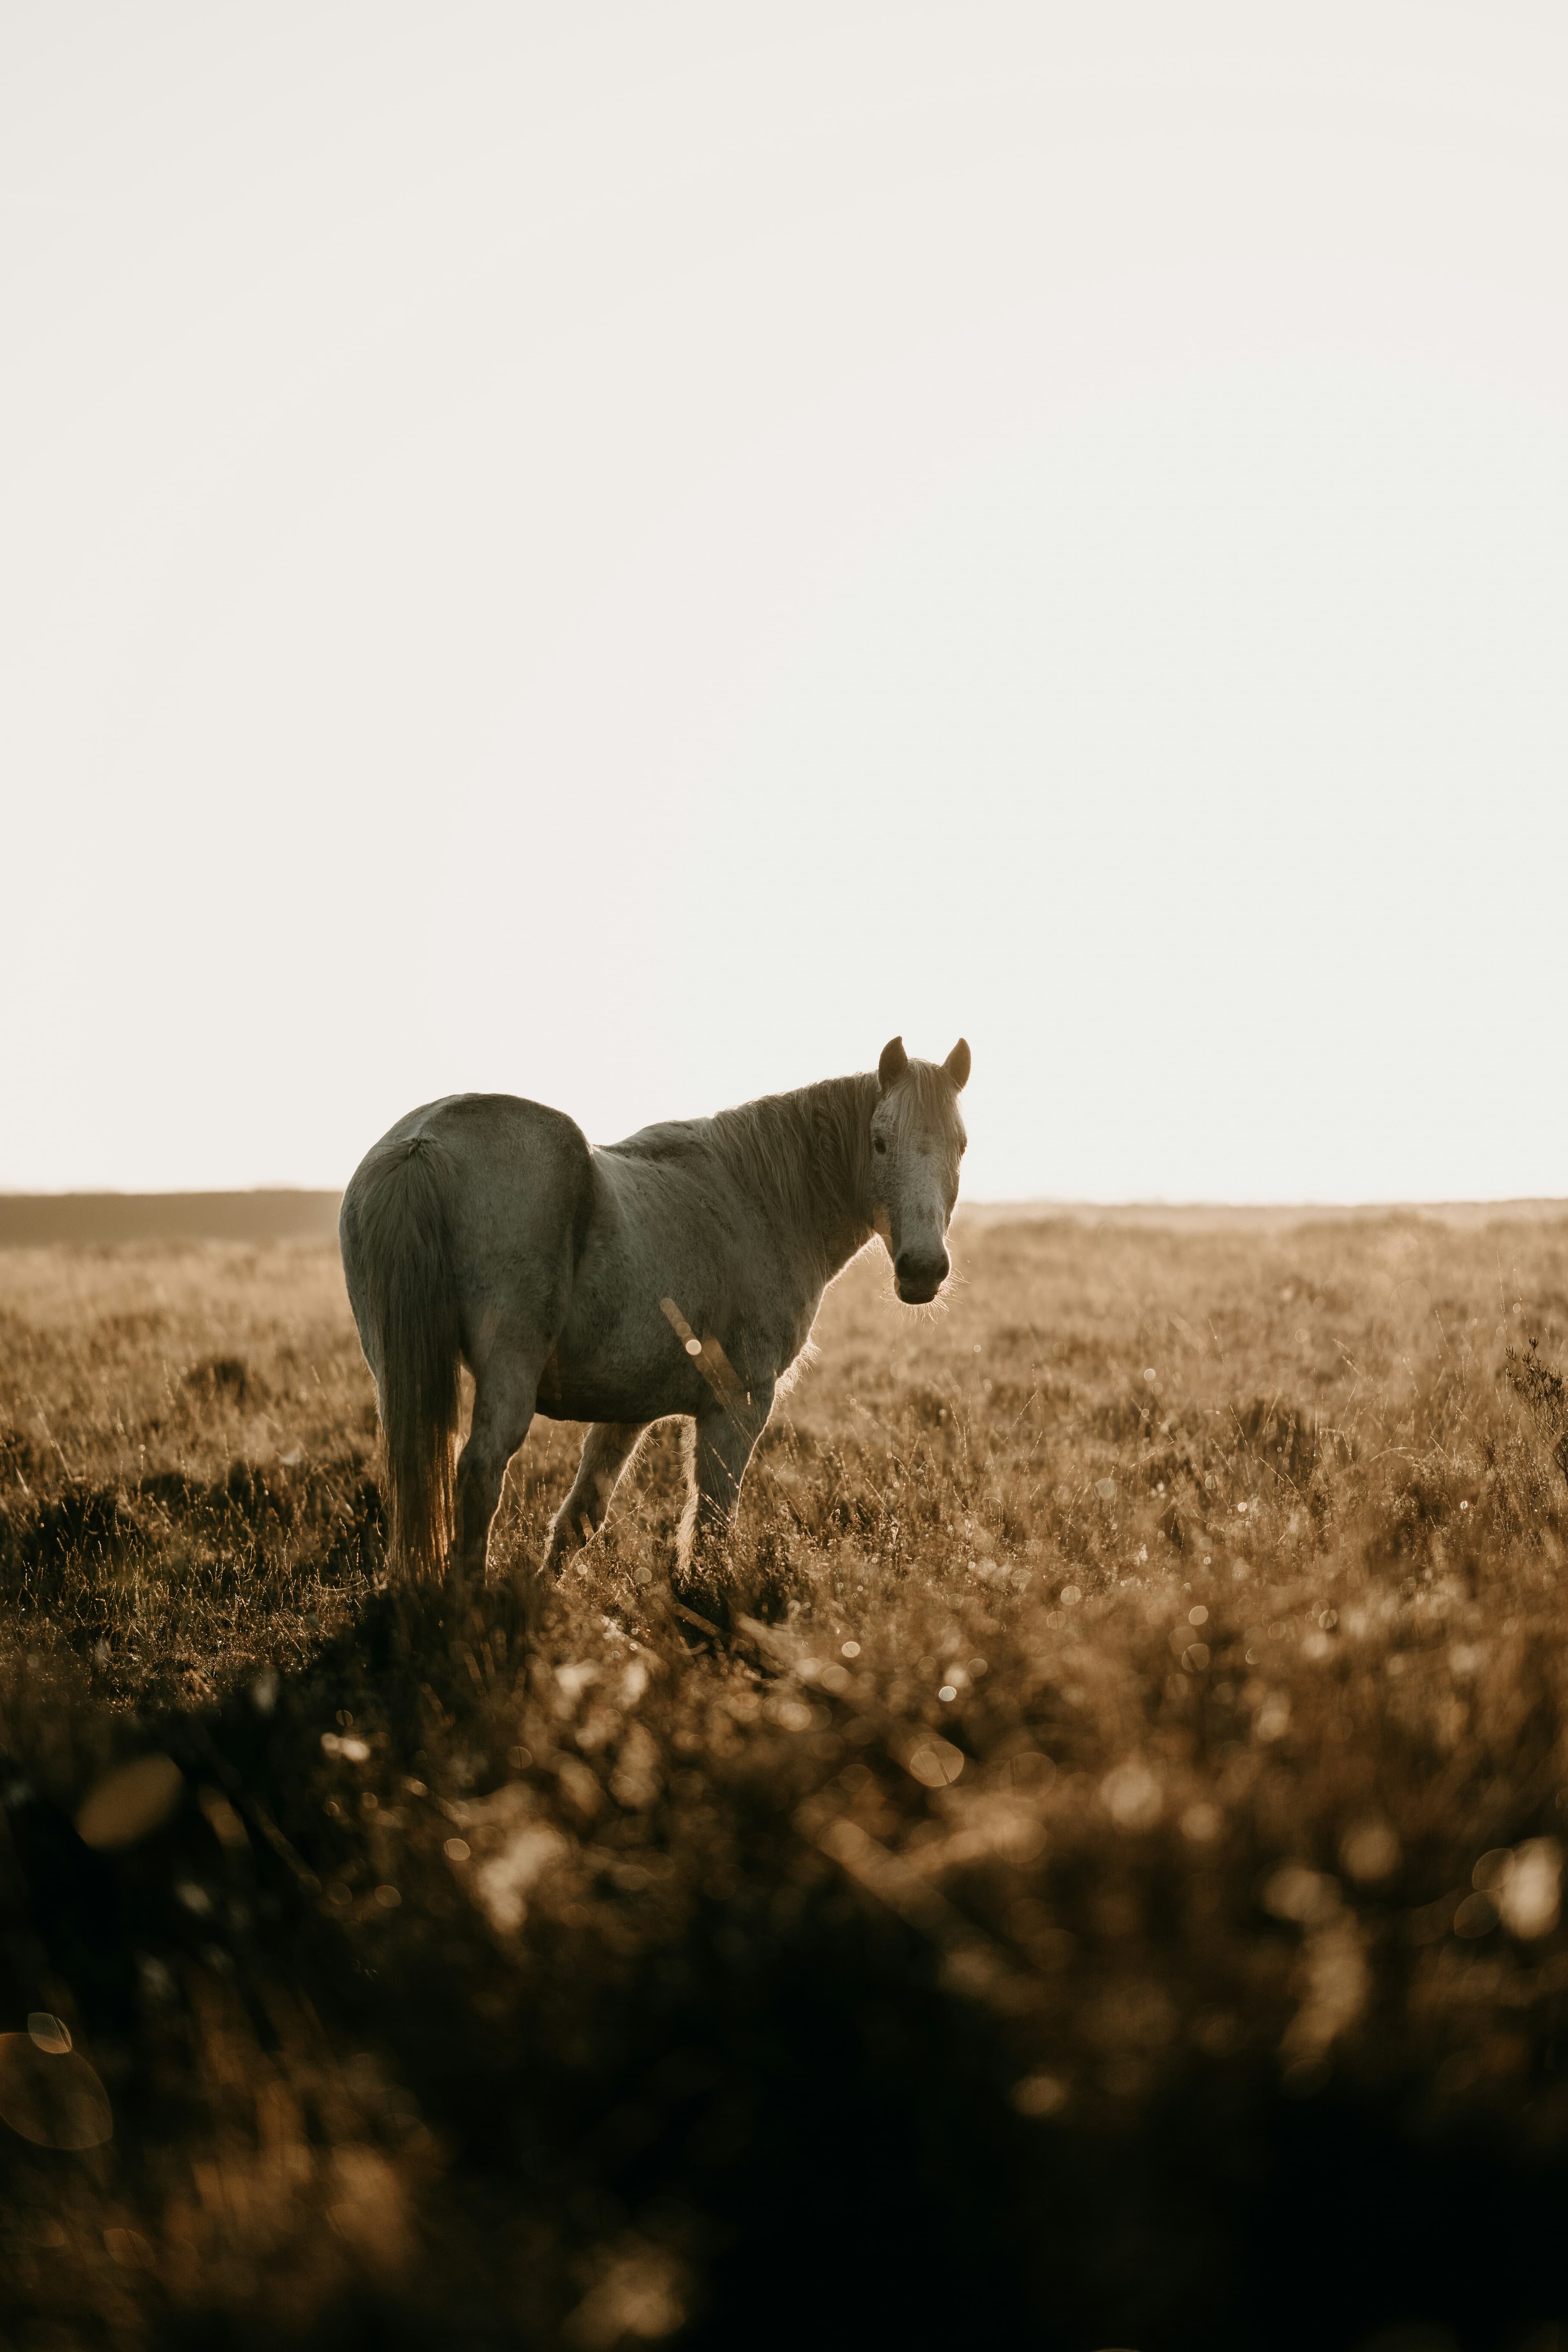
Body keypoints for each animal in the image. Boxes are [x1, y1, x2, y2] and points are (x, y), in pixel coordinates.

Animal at [338, 1034, 970, 1601]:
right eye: (880, 1143)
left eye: (961, 1145)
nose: (923, 1269)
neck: (760, 1200)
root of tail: (424, 1140)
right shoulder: (738, 1405)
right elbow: (713, 1518)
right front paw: (705, 1600)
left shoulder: (628, 1410)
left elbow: (583, 1516)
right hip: (509, 1371)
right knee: (479, 1472)